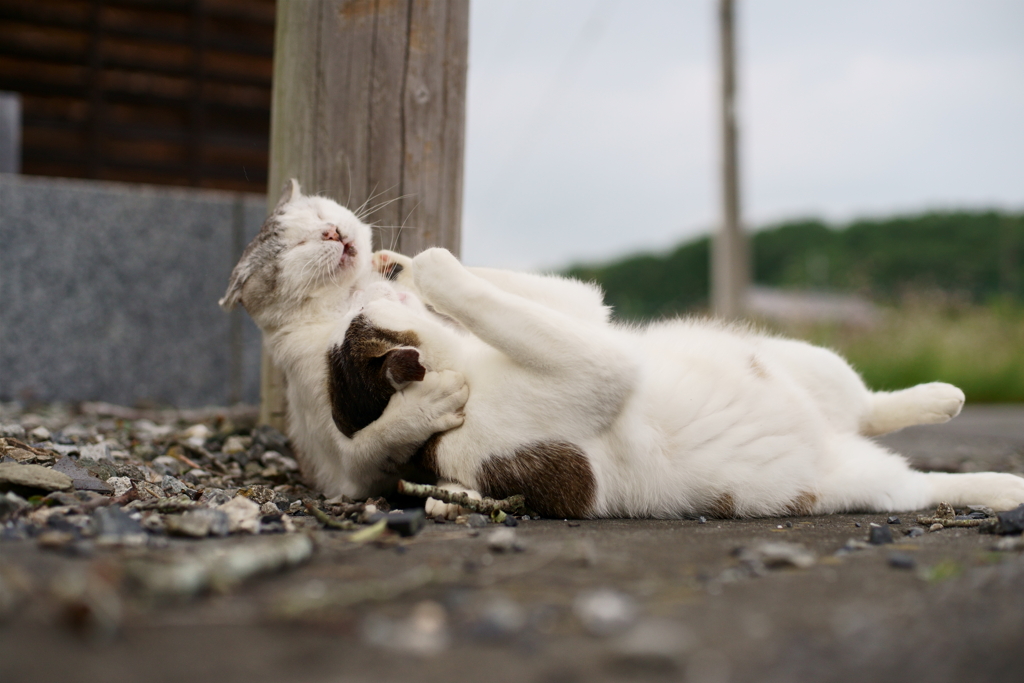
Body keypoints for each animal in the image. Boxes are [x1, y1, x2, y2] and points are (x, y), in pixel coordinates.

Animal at [329, 246, 1024, 518]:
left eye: (360, 298)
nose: (371, 272)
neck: (468, 370)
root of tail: (834, 437)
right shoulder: (598, 369)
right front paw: (430, 268)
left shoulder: (585, 319)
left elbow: (559, 294)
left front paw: (407, 262)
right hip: (874, 485)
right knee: (928, 483)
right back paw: (1005, 486)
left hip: (813, 363)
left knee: (872, 405)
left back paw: (943, 398)